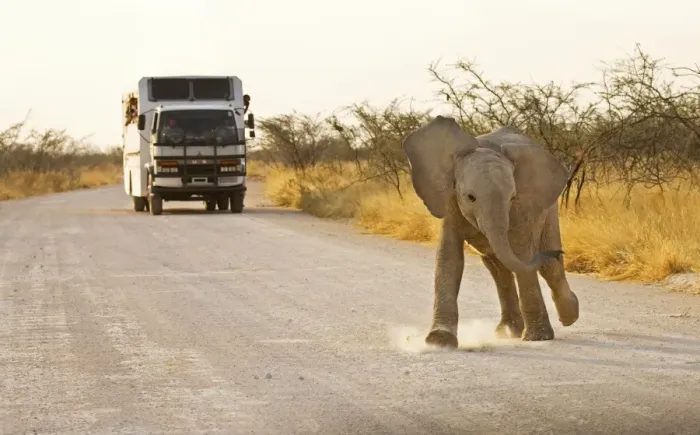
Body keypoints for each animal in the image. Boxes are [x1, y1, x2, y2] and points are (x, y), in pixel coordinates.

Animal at [402, 115, 579, 347]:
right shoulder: (451, 199)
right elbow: (449, 256)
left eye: (512, 198)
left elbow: (523, 254)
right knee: (498, 268)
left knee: (548, 266)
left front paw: (538, 338)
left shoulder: (523, 208)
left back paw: (569, 317)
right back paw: (508, 332)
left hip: (549, 209)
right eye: (470, 197)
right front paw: (438, 341)